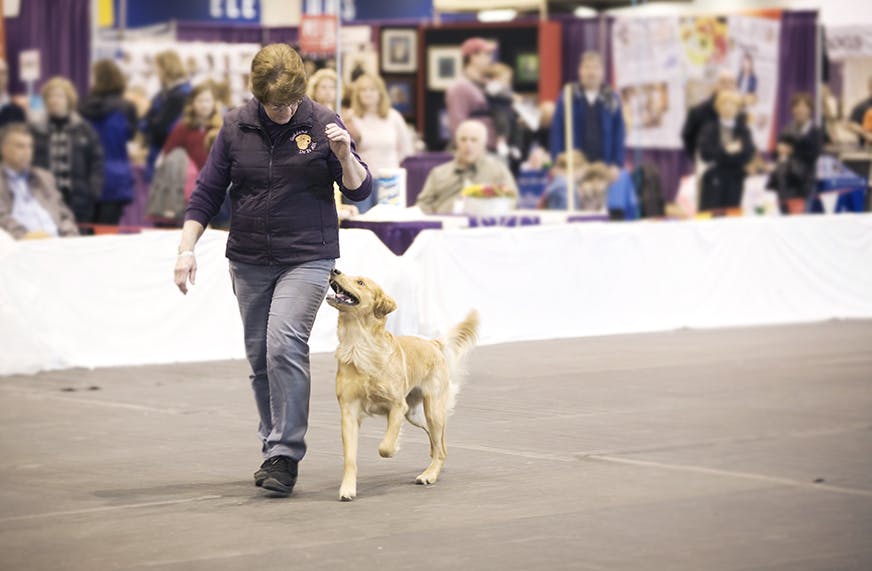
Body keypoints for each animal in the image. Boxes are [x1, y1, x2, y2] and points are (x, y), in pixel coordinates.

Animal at [326, 268, 480, 500]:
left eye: (360, 282)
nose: (334, 270)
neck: (359, 345)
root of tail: (433, 342)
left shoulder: (397, 406)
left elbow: (385, 446)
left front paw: (394, 447)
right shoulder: (349, 410)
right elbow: (350, 458)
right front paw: (347, 488)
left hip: (431, 408)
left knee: (440, 444)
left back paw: (429, 474)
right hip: (415, 414)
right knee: (437, 441)